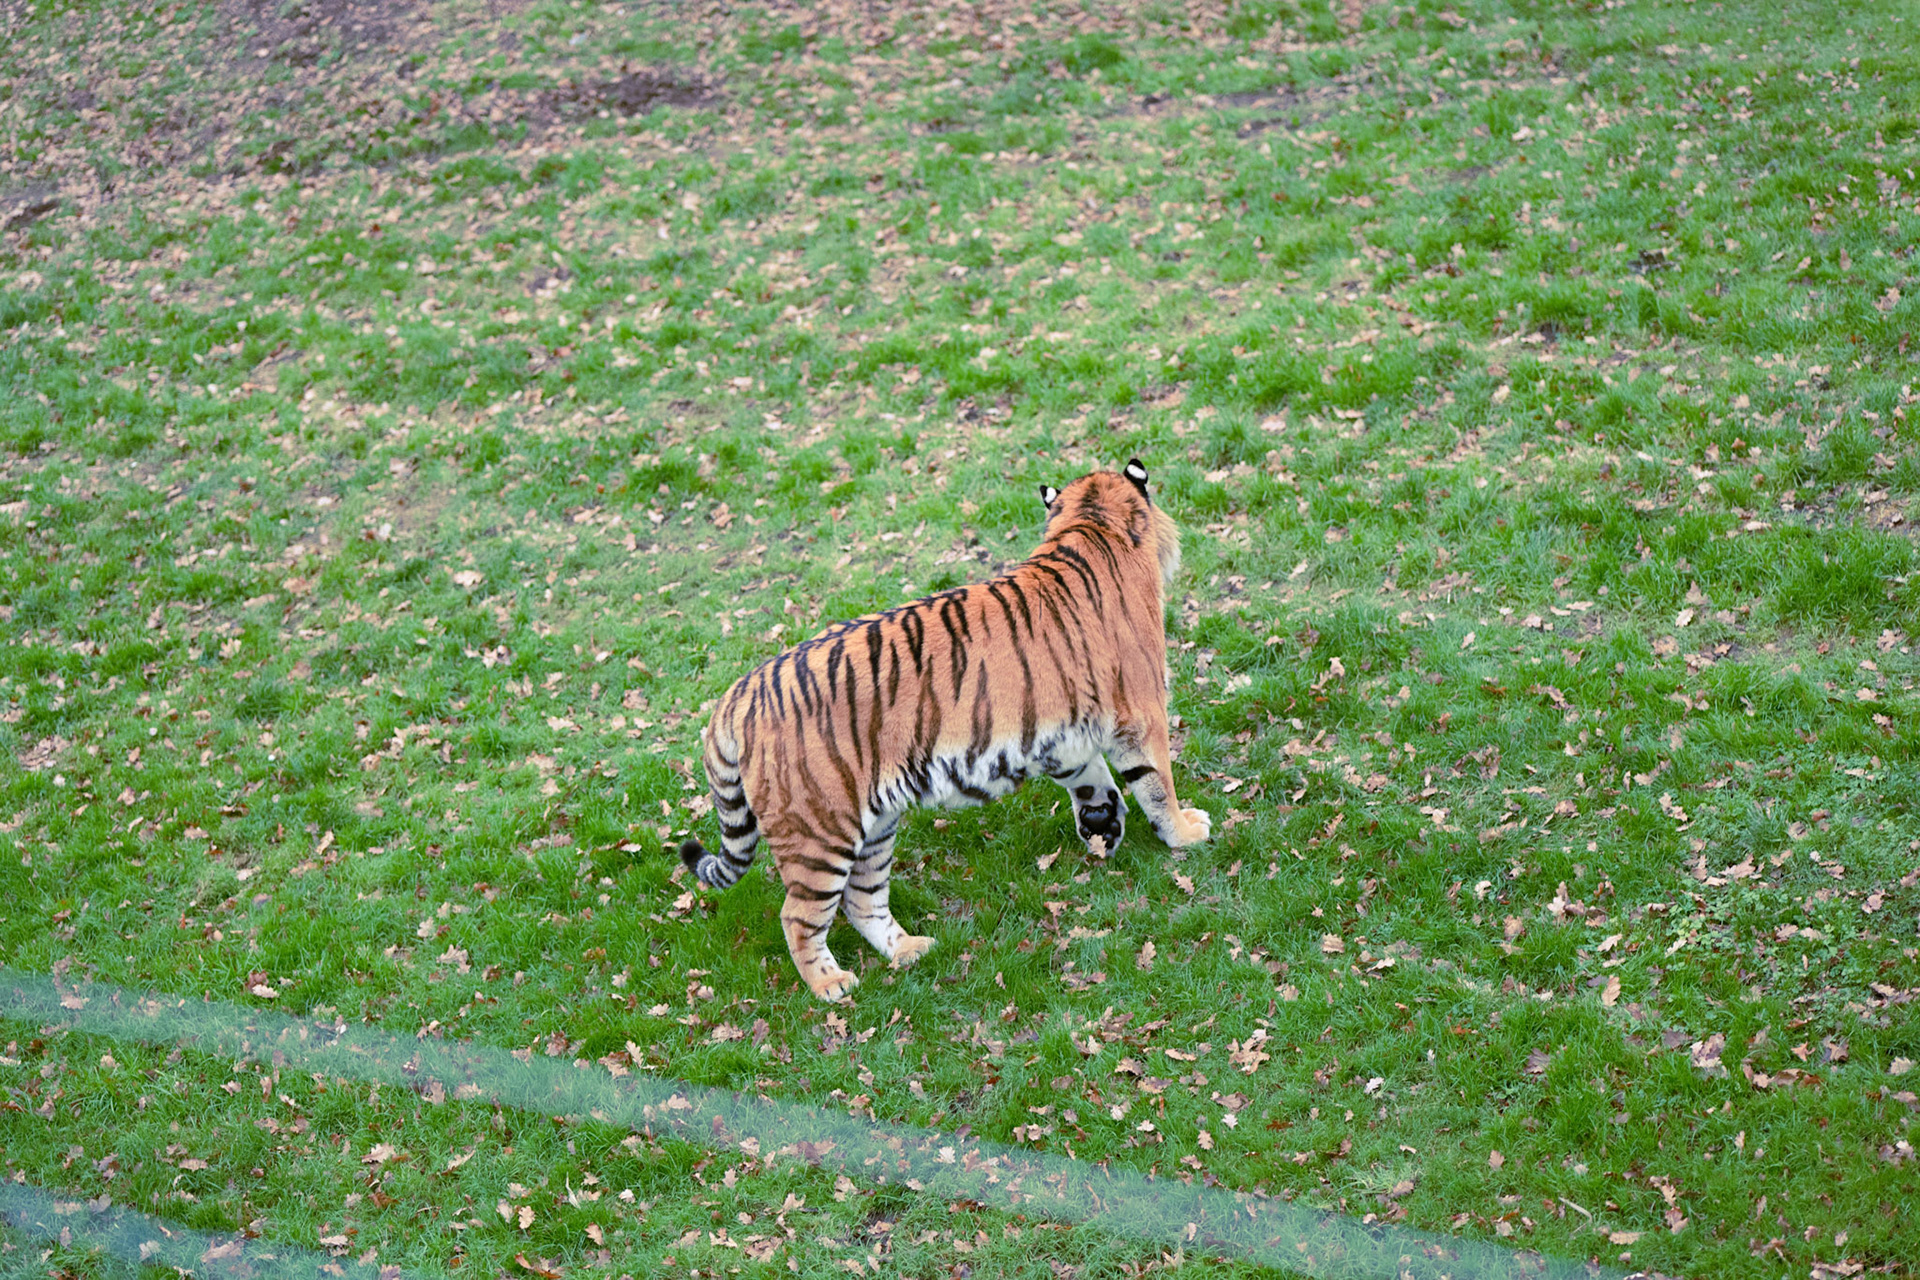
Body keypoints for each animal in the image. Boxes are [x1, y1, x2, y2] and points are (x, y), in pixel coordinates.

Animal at [678, 459, 1211, 1001]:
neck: (1090, 524)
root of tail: (738, 694)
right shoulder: (1140, 713)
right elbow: (1157, 784)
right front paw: (1185, 832)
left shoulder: (1066, 737)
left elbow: (1095, 783)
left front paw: (1103, 827)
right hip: (818, 835)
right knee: (799, 916)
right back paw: (830, 982)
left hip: (875, 827)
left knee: (861, 899)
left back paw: (910, 949)